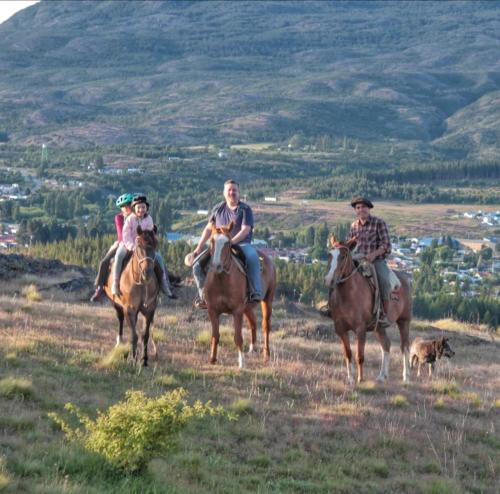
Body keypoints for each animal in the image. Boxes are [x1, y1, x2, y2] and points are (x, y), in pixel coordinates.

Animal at [103, 228, 160, 366]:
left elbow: (145, 335)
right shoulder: (130, 310)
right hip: (115, 304)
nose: (147, 273)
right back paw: (119, 343)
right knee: (120, 319)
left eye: (156, 245)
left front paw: (144, 359)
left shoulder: (149, 310)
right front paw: (133, 359)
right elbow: (134, 335)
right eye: (138, 246)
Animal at [206, 222, 278, 368]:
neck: (222, 280)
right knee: (253, 323)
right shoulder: (212, 310)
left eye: (228, 243)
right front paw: (212, 359)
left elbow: (238, 337)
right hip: (247, 308)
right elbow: (215, 335)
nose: (216, 266)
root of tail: (269, 261)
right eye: (211, 241)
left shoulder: (237, 311)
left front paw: (241, 363)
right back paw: (252, 349)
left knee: (265, 326)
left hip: (267, 301)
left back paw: (266, 355)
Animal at [322, 235, 412, 386]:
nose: (329, 280)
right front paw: (350, 379)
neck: (348, 295)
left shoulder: (361, 329)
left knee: (404, 347)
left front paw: (360, 379)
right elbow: (348, 354)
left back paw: (406, 377)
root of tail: (406, 279)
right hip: (379, 327)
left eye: (343, 256)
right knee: (386, 345)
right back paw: (382, 376)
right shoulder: (341, 329)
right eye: (329, 255)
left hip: (404, 321)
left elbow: (360, 355)